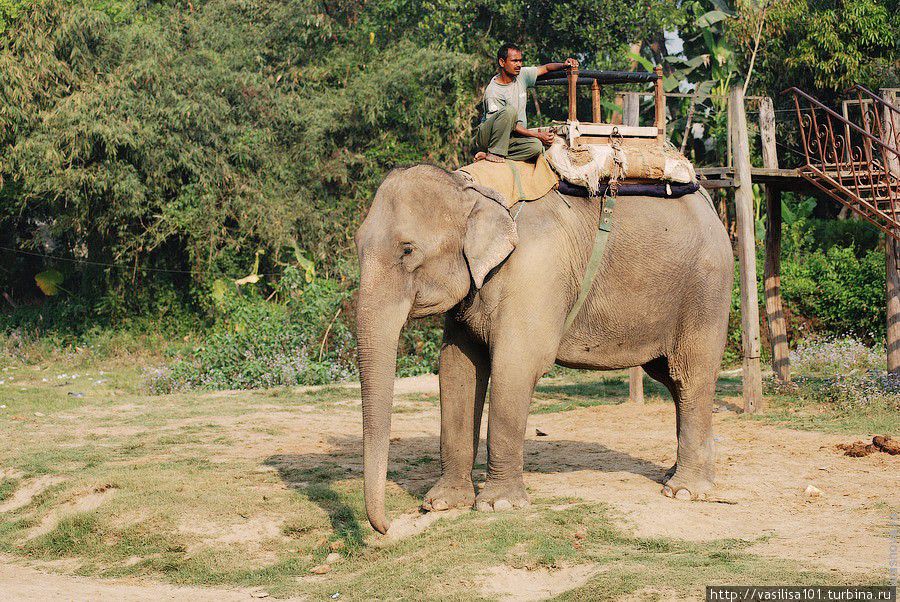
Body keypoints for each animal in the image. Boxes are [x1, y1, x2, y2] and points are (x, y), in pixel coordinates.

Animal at [356, 163, 736, 528]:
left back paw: (684, 491)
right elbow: (456, 369)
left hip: (705, 290)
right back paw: (676, 477)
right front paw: (441, 504)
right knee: (671, 380)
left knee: (690, 375)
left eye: (407, 251)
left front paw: (499, 506)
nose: (386, 526)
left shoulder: (535, 270)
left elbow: (515, 366)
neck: (473, 187)